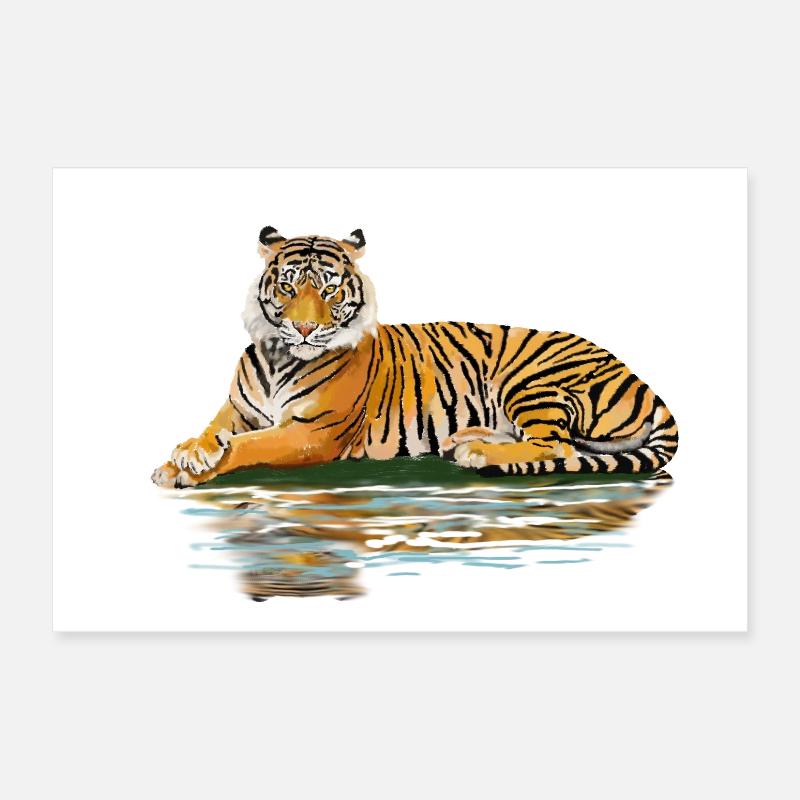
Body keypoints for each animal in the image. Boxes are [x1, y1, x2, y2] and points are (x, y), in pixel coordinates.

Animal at [151, 226, 679, 488]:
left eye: (329, 288)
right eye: (288, 285)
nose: (304, 328)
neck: (280, 355)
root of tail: (640, 379)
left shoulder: (311, 434)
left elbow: (248, 446)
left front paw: (189, 469)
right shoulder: (237, 410)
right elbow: (214, 431)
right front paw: (184, 455)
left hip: (531, 381)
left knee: (558, 448)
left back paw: (476, 453)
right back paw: (467, 439)